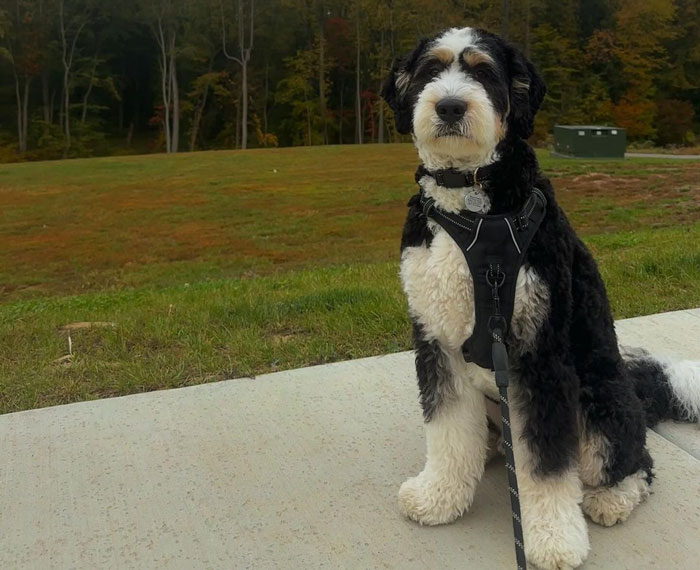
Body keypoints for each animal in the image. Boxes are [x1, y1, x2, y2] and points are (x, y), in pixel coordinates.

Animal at [382, 26, 700, 568]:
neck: (472, 206)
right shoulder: (437, 341)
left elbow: (546, 466)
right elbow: (448, 432)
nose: (449, 106)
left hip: (600, 407)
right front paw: (440, 497)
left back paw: (611, 498)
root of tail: (637, 392)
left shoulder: (539, 356)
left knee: (636, 463)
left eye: (484, 72)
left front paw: (553, 539)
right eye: (430, 70)